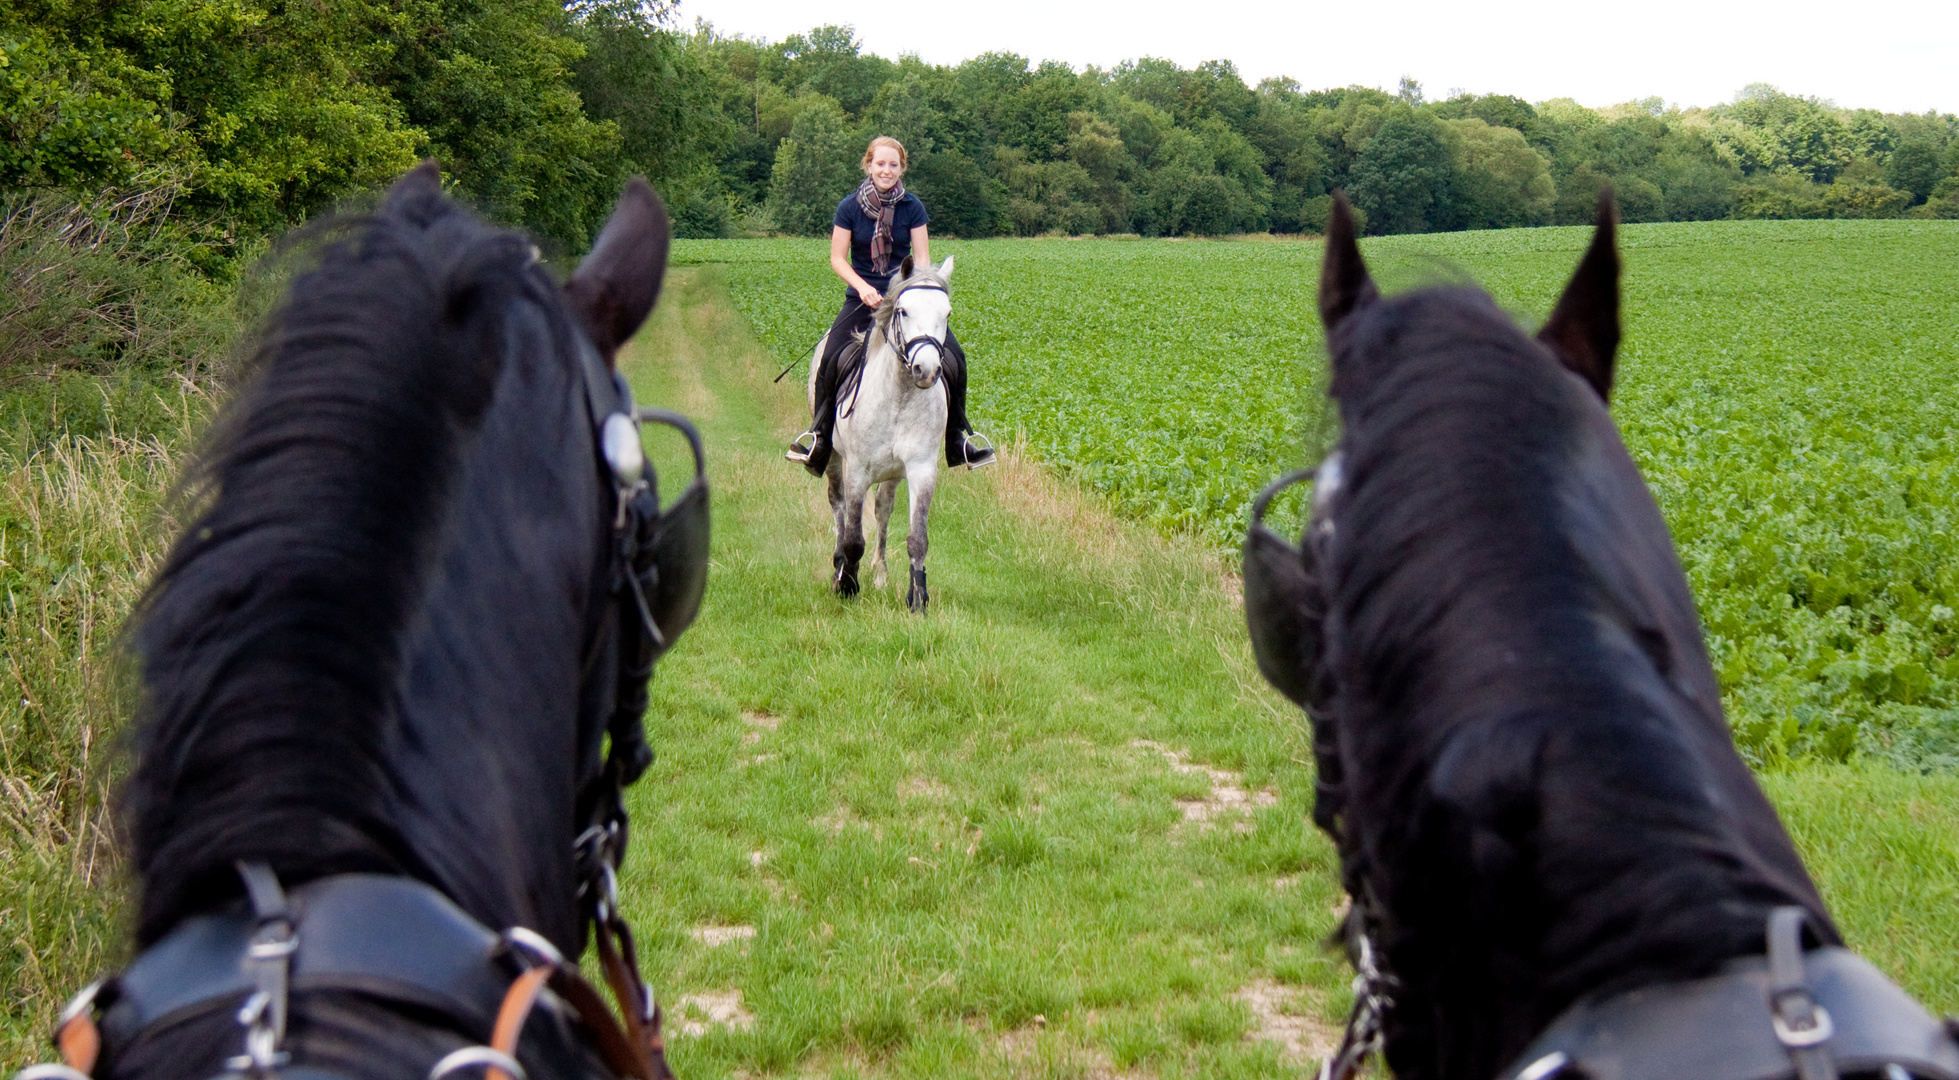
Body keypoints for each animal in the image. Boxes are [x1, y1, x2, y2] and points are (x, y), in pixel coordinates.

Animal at [803, 252, 955, 607]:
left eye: (947, 314)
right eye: (903, 310)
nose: (926, 370)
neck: (898, 396)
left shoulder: (921, 469)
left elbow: (917, 537)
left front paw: (917, 597)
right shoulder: (858, 469)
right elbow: (853, 536)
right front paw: (846, 585)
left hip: (893, 474)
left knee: (883, 510)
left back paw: (881, 574)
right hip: (834, 459)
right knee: (838, 505)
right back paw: (839, 566)